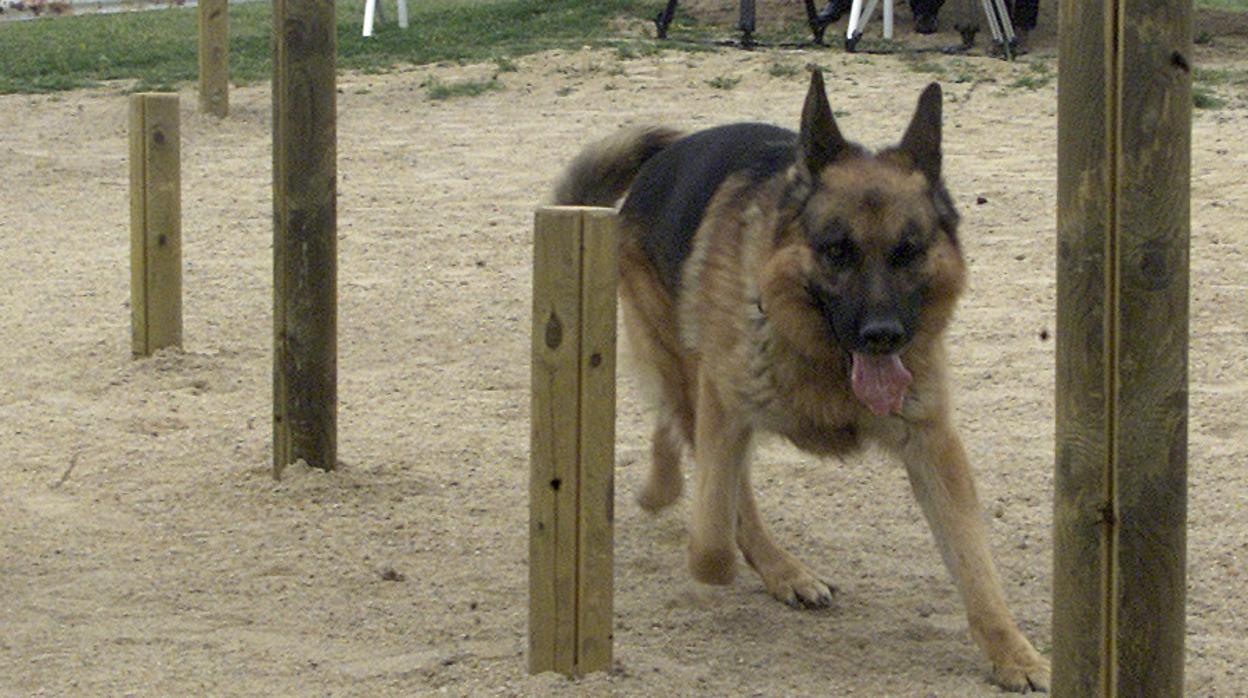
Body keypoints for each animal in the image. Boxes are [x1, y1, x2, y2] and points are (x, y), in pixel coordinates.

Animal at [551, 71, 1048, 694]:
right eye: (836, 250)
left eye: (908, 251)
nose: (882, 336)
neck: (823, 363)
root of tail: (661, 160)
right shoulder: (725, 408)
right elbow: (712, 541)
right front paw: (737, 559)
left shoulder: (935, 447)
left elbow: (975, 563)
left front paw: (1013, 653)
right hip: (683, 362)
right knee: (690, 434)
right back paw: (771, 561)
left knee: (672, 423)